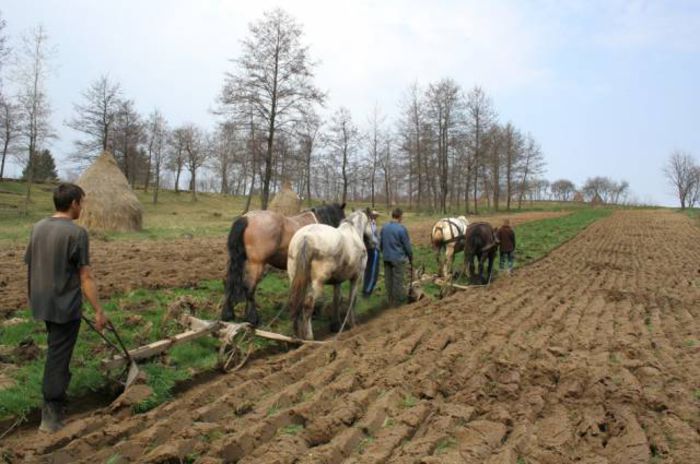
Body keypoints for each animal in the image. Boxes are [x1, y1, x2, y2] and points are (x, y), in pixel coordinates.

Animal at [286, 208, 374, 338]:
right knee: (308, 305)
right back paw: (309, 337)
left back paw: (297, 336)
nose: (374, 242)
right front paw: (352, 324)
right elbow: (352, 300)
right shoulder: (357, 278)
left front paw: (336, 326)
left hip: (297, 280)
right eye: (372, 222)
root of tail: (305, 237)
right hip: (317, 283)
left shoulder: (337, 281)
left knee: (297, 303)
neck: (353, 233)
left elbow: (337, 300)